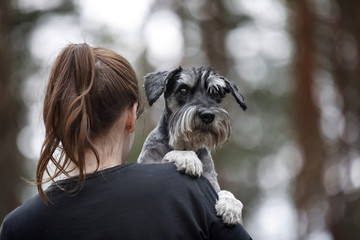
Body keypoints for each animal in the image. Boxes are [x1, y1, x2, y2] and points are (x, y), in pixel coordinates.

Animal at [138, 66, 248, 225]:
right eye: (183, 90)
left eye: (216, 93)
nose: (208, 115)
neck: (186, 143)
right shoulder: (148, 165)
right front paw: (188, 158)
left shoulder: (211, 182)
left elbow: (224, 191)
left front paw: (231, 205)